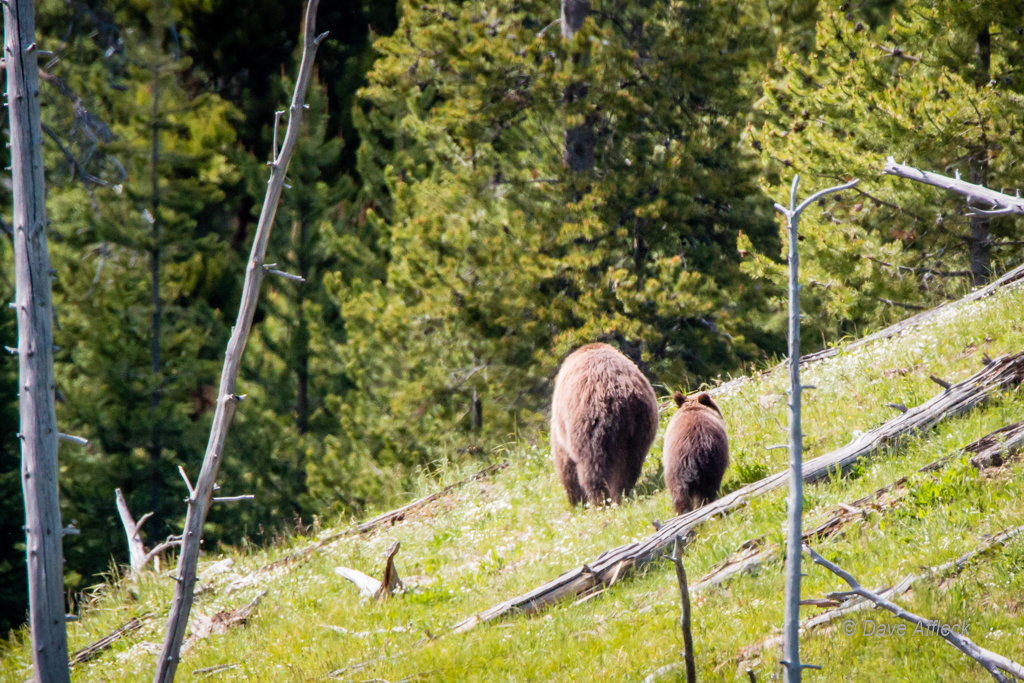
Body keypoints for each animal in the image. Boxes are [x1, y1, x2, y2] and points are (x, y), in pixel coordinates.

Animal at [548, 342, 659, 507]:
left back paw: (600, 500)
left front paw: (576, 500)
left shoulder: (561, 428)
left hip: (588, 425)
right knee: (631, 463)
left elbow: (565, 463)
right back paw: (622, 493)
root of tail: (619, 396)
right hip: (640, 427)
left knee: (593, 468)